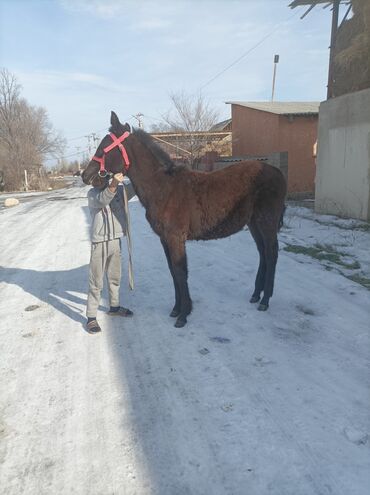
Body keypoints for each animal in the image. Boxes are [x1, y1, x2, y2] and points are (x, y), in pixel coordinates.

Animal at [83, 113, 286, 330]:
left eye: (104, 147)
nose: (86, 176)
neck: (163, 188)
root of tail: (277, 172)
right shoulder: (165, 239)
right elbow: (173, 272)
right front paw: (176, 309)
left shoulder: (175, 238)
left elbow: (180, 272)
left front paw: (183, 315)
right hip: (254, 223)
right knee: (263, 253)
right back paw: (256, 295)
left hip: (266, 221)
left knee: (271, 253)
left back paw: (265, 300)